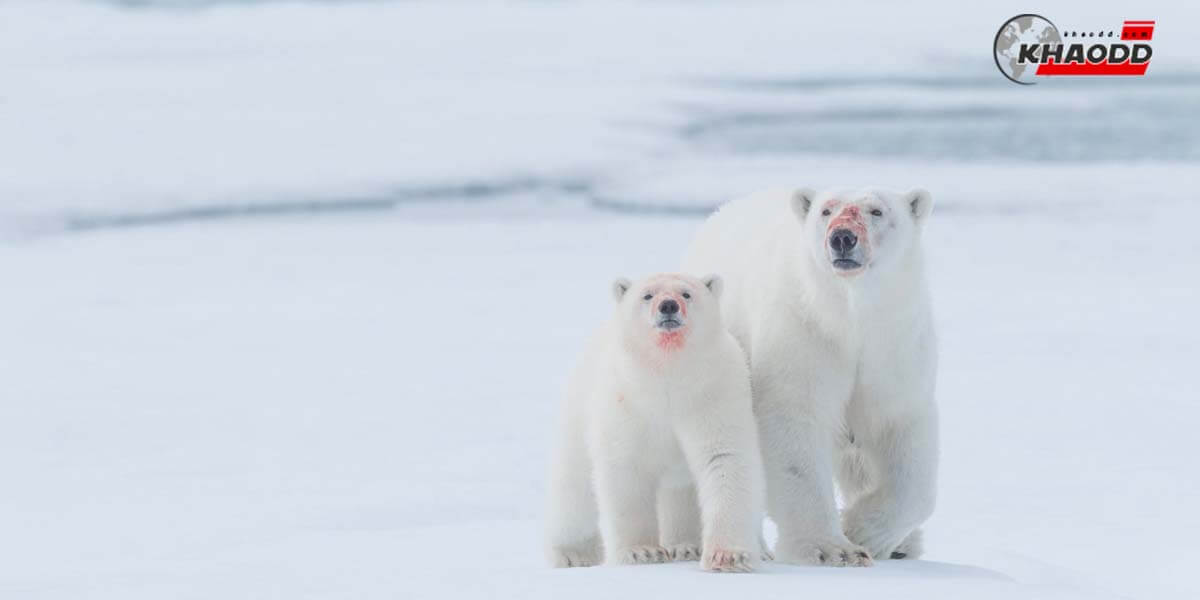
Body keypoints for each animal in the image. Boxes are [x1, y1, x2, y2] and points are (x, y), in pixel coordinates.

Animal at [686, 187, 936, 566]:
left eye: (876, 211)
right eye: (826, 210)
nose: (842, 237)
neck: (848, 316)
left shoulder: (894, 349)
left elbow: (904, 440)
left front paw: (863, 531)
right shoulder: (803, 331)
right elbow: (794, 423)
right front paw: (834, 549)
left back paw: (906, 546)